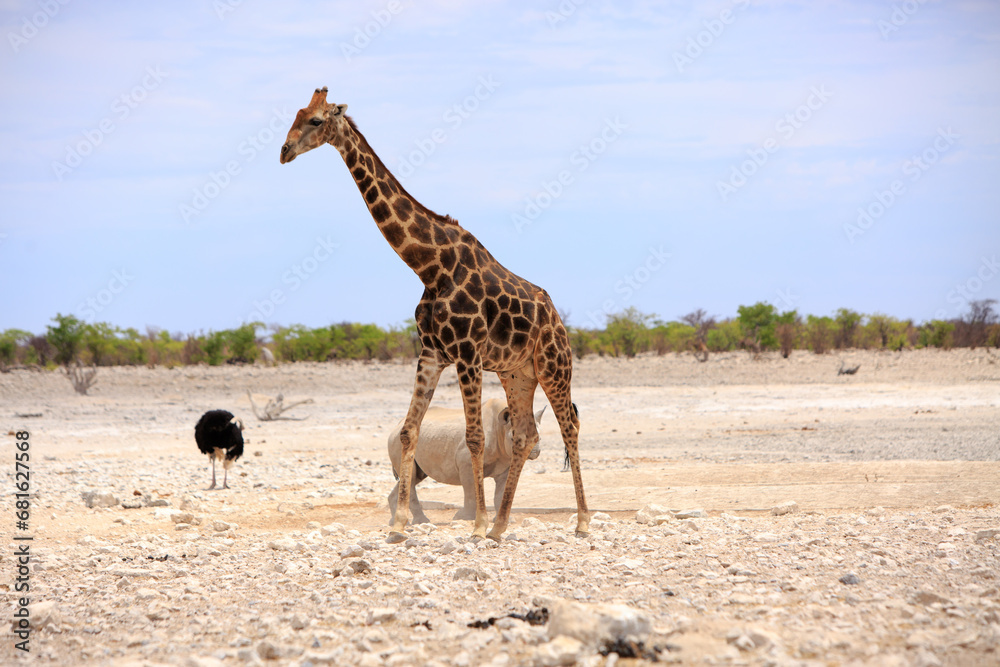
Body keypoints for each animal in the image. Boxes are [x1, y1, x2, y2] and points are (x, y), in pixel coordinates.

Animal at [280, 87, 589, 543]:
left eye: (317, 120)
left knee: (569, 426)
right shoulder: (431, 353)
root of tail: (559, 322)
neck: (430, 265)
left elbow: (475, 437)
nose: (284, 151)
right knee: (524, 434)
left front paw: (475, 526)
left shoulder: (467, 354)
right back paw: (501, 527)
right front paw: (399, 526)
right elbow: (410, 430)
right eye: (296, 114)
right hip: (518, 373)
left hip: (553, 366)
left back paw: (580, 521)